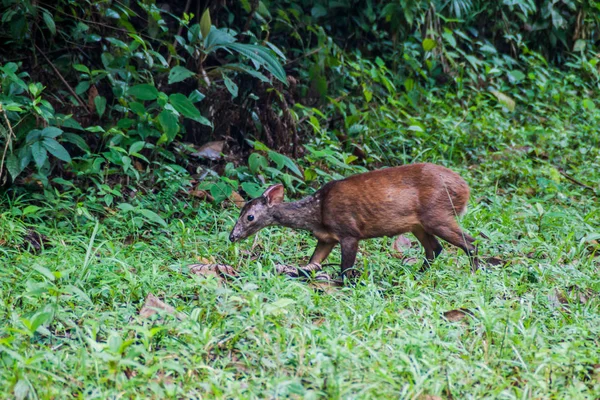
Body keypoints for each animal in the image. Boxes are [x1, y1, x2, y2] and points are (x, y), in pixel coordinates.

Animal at [230, 162, 478, 278]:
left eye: (250, 217)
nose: (232, 236)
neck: (317, 214)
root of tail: (465, 188)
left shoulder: (349, 232)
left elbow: (345, 269)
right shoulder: (326, 238)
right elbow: (312, 263)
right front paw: (295, 272)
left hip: (438, 214)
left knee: (470, 242)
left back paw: (475, 273)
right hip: (418, 223)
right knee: (434, 248)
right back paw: (416, 275)